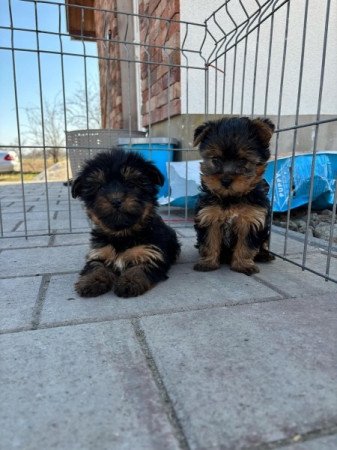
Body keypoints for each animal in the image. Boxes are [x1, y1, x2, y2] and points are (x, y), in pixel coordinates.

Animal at [72, 149, 180, 298]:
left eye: (131, 184)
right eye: (100, 187)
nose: (116, 200)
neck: (122, 234)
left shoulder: (150, 253)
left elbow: (139, 268)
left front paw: (129, 282)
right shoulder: (100, 252)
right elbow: (96, 266)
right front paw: (91, 280)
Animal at [193, 116, 274, 276]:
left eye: (243, 161)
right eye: (216, 159)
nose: (225, 180)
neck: (231, 198)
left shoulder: (251, 219)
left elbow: (246, 246)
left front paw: (243, 265)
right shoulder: (209, 216)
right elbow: (209, 241)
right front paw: (208, 263)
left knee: (263, 243)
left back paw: (265, 255)